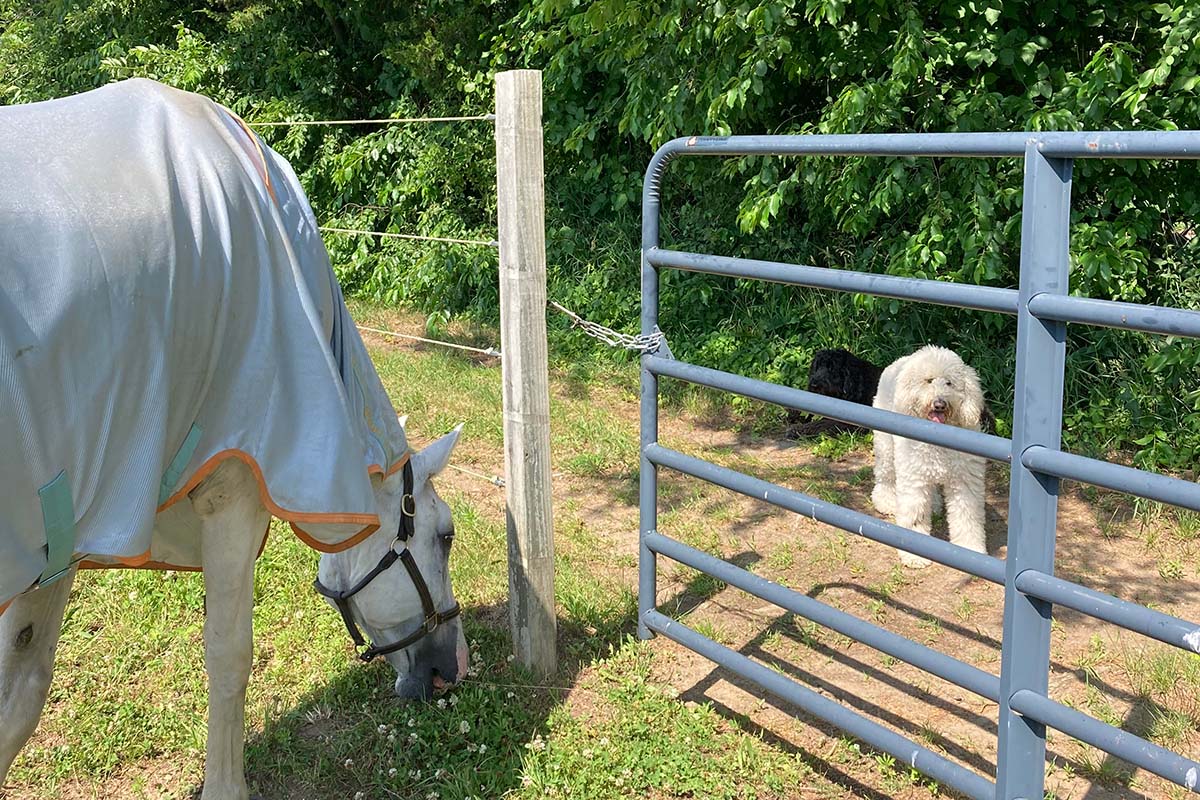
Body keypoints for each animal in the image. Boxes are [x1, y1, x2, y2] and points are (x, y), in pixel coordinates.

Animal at [0, 76, 465, 800]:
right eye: (443, 536)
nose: (452, 670)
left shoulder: (60, 542)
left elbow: (21, 691)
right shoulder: (235, 498)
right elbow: (228, 658)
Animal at [868, 347, 988, 566]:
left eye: (949, 382)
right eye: (928, 381)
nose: (939, 403)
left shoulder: (964, 482)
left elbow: (967, 518)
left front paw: (970, 551)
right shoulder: (914, 480)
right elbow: (915, 515)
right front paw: (914, 555)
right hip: (886, 447)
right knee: (885, 475)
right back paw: (886, 501)